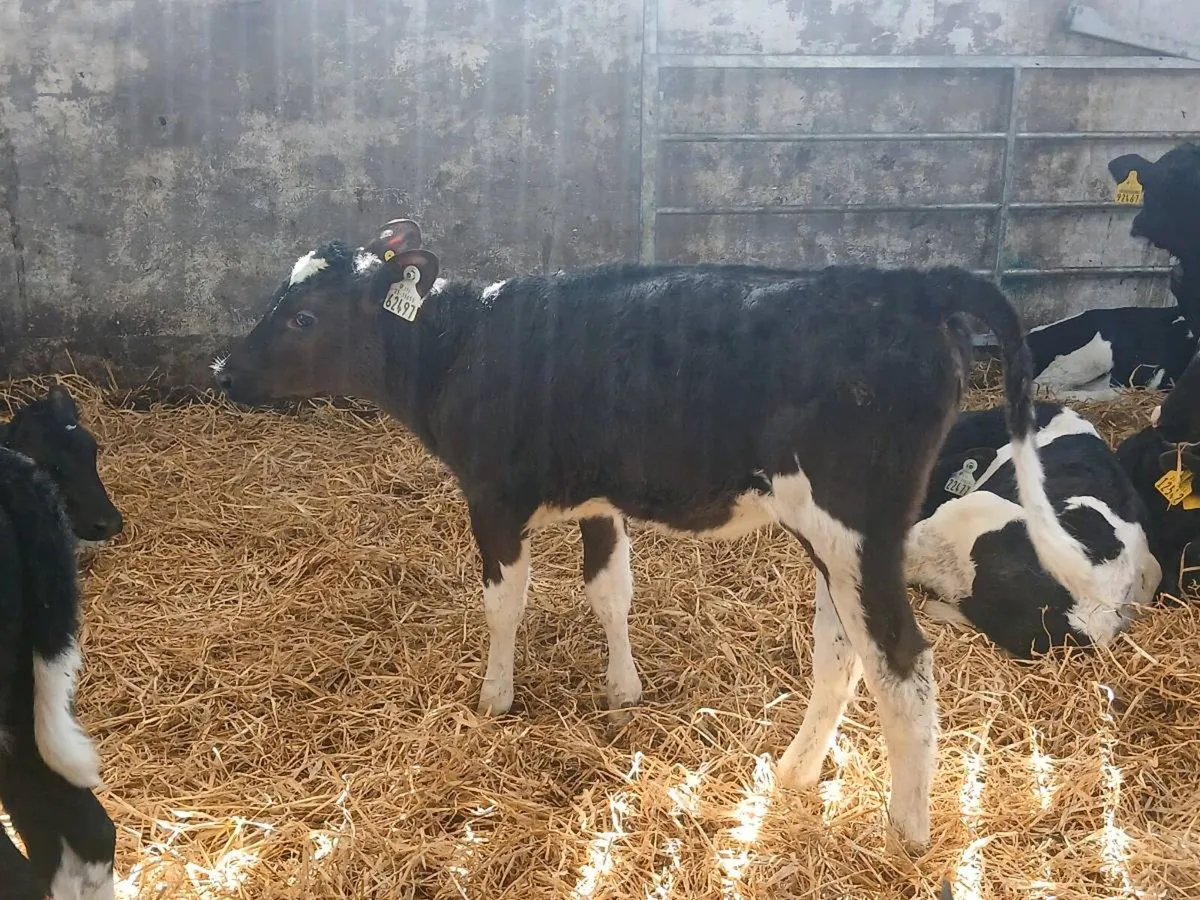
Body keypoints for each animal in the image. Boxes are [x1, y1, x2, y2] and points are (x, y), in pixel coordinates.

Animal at [212, 217, 1105, 850]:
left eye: (301, 317)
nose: (223, 371)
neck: (464, 346)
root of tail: (906, 286)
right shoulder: (599, 498)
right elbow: (611, 591)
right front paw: (623, 690)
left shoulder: (491, 495)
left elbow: (505, 602)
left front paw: (496, 697)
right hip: (838, 542)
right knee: (842, 654)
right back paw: (795, 776)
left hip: (854, 526)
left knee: (903, 666)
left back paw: (905, 833)